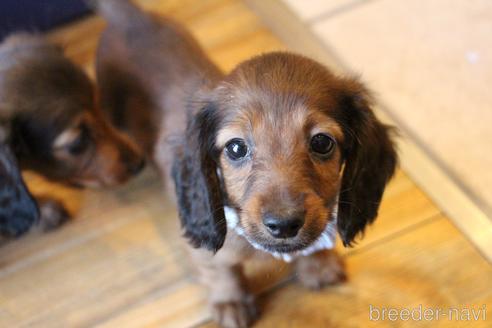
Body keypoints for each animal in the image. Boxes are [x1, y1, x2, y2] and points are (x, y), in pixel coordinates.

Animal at [94, 1, 398, 326]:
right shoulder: (204, 246)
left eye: (321, 142)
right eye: (236, 148)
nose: (284, 225)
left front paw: (318, 263)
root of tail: (127, 16)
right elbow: (220, 269)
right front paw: (230, 301)